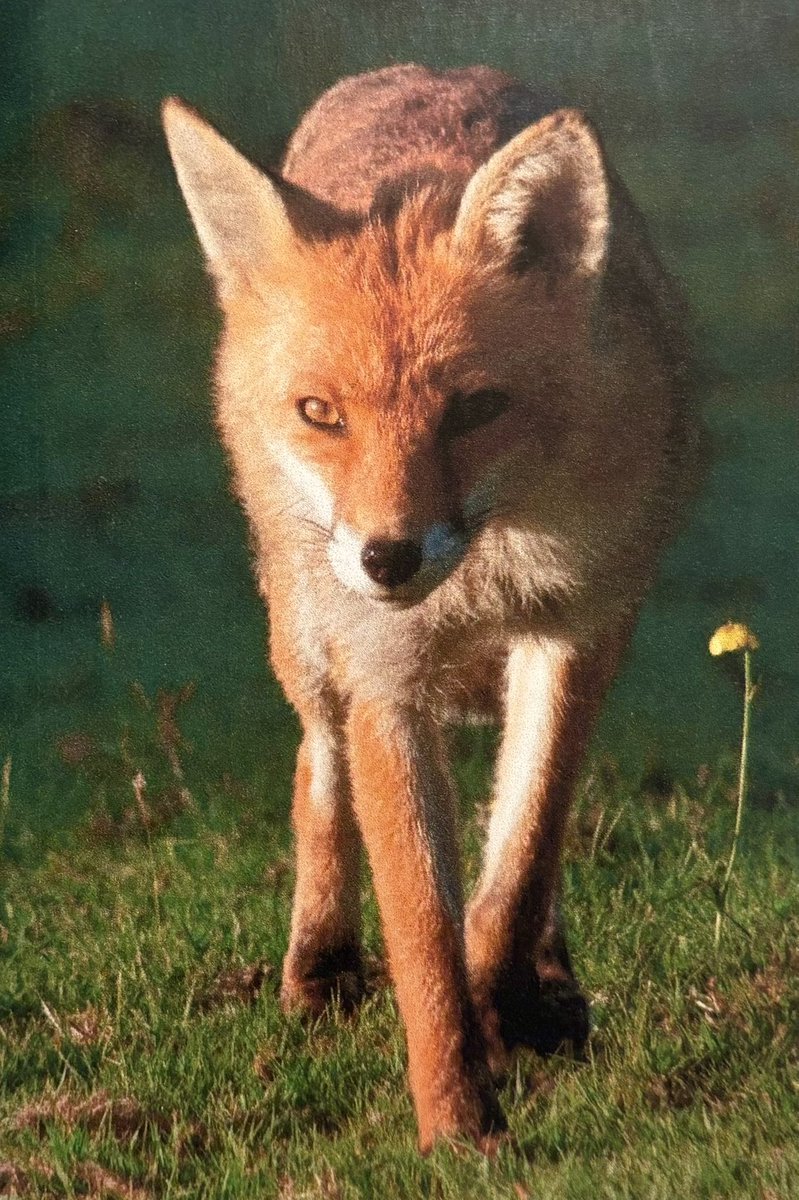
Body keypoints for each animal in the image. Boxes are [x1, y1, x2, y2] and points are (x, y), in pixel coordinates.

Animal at [162, 63, 701, 1152]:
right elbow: (419, 925)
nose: (387, 555)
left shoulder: (572, 631)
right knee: (314, 773)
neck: (490, 570)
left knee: (524, 839)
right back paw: (320, 962)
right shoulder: (385, 680)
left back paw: (545, 985)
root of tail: (408, 74)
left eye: (475, 409)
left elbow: (522, 854)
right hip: (305, 640)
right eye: (321, 414)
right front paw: (457, 1121)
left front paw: (507, 1010)